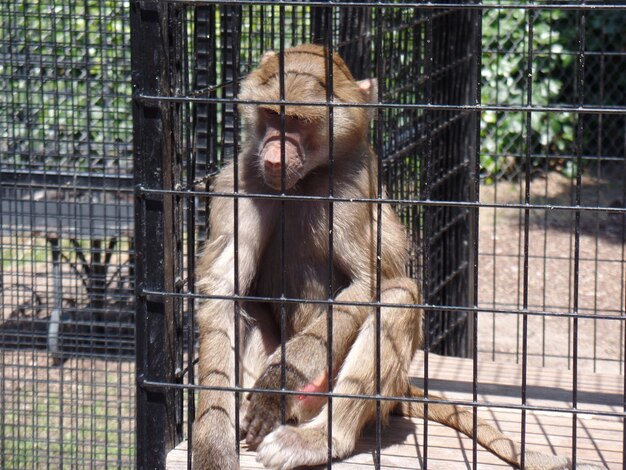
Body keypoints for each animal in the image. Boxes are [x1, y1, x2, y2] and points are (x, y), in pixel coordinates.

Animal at [191, 44, 604, 470]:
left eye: (298, 120)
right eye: (273, 114)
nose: (274, 158)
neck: (304, 181)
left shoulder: (352, 185)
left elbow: (369, 283)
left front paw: (277, 385)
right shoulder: (241, 179)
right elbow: (223, 292)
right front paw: (212, 445)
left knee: (399, 296)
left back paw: (322, 437)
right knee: (249, 309)